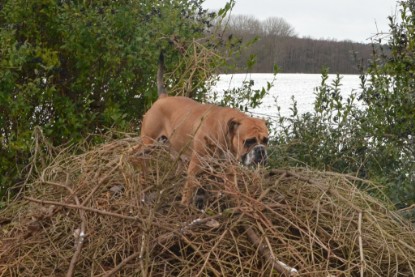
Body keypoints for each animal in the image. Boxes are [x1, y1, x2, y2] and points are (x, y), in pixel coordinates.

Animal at [140, 53, 270, 205]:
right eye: (249, 141)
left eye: (266, 140)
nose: (261, 150)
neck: (224, 132)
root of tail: (162, 98)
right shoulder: (195, 165)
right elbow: (189, 189)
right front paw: (184, 206)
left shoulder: (229, 169)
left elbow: (233, 188)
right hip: (149, 142)